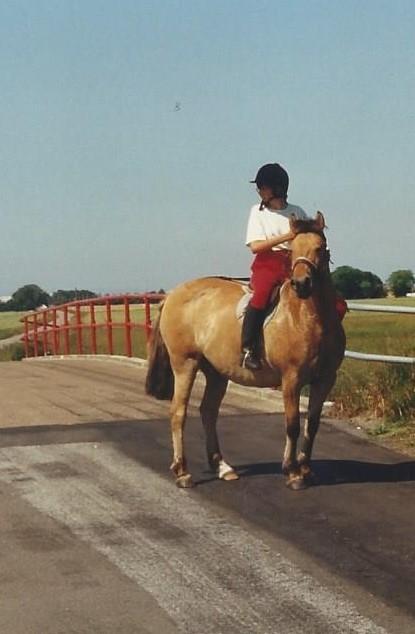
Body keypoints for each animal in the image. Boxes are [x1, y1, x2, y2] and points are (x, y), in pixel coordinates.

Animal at [145, 212, 346, 488]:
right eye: (292, 250)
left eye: (320, 247)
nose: (301, 284)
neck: (307, 317)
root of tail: (172, 295)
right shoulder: (291, 378)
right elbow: (293, 424)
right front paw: (293, 473)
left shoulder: (326, 379)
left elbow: (312, 424)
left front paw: (306, 469)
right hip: (185, 364)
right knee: (178, 413)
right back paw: (183, 472)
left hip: (216, 372)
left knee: (208, 412)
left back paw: (222, 467)